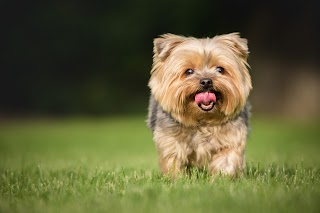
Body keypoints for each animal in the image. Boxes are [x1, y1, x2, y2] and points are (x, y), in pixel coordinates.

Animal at [146, 32, 251, 176]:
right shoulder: (171, 142)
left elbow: (227, 160)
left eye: (220, 69)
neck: (202, 120)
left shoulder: (231, 139)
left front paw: (222, 178)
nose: (206, 81)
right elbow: (174, 161)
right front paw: (177, 178)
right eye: (189, 71)